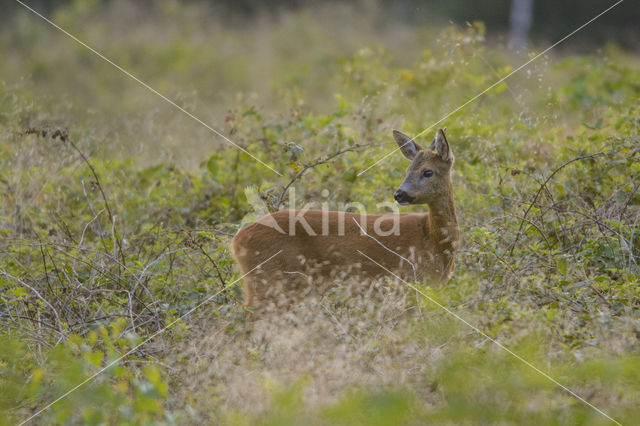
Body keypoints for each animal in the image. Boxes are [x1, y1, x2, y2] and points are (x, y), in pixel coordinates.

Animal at [231, 126, 460, 306]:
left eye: (428, 172)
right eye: (407, 170)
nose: (399, 194)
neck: (434, 240)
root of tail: (236, 240)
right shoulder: (410, 282)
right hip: (272, 280)